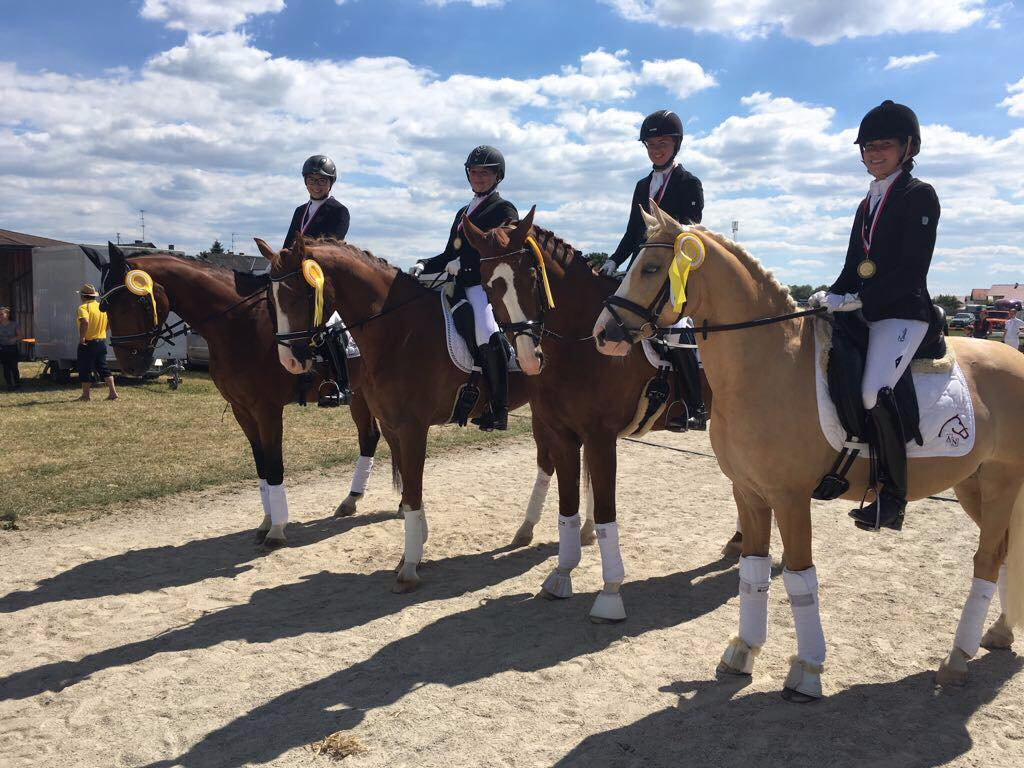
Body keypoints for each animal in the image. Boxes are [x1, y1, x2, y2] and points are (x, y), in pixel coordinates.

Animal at [100, 246, 385, 548]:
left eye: (136, 302)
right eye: (105, 307)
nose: (130, 365)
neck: (239, 325)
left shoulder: (267, 409)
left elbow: (274, 465)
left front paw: (277, 529)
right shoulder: (242, 410)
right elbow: (261, 465)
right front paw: (267, 521)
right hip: (360, 394)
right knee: (369, 437)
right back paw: (351, 499)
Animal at [248, 225, 569, 593]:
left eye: (301, 295)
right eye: (271, 300)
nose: (289, 360)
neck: (399, 331)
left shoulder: (413, 428)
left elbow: (413, 491)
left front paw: (411, 566)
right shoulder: (392, 425)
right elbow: (408, 484)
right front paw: (414, 546)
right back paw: (534, 531)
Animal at [460, 218, 733, 626]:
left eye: (530, 276)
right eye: (488, 285)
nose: (527, 357)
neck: (582, 344)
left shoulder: (601, 438)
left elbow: (605, 510)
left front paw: (609, 594)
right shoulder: (564, 435)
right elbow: (568, 505)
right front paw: (561, 574)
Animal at [589, 202, 1024, 704]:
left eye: (652, 268)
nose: (603, 334)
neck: (767, 364)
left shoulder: (791, 497)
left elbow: (799, 576)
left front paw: (807, 671)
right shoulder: (749, 493)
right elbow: (753, 569)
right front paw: (743, 651)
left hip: (1001, 482)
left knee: (987, 561)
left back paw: (955, 661)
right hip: (974, 486)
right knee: (1005, 552)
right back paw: (999, 634)